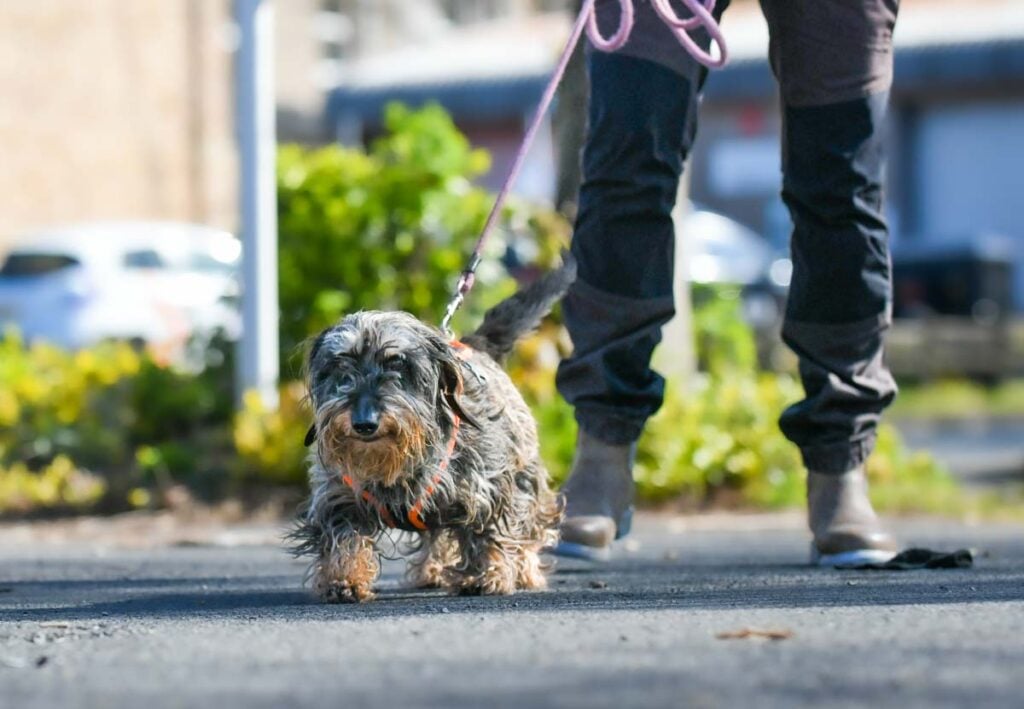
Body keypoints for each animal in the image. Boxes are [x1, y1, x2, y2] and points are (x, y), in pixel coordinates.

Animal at [290, 257, 577, 602]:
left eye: (398, 365)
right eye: (339, 366)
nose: (364, 423)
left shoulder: (491, 490)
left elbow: (490, 535)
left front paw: (484, 576)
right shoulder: (339, 497)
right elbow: (343, 538)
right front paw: (344, 578)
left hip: (526, 477)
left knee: (530, 529)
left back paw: (526, 572)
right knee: (437, 538)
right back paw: (432, 571)